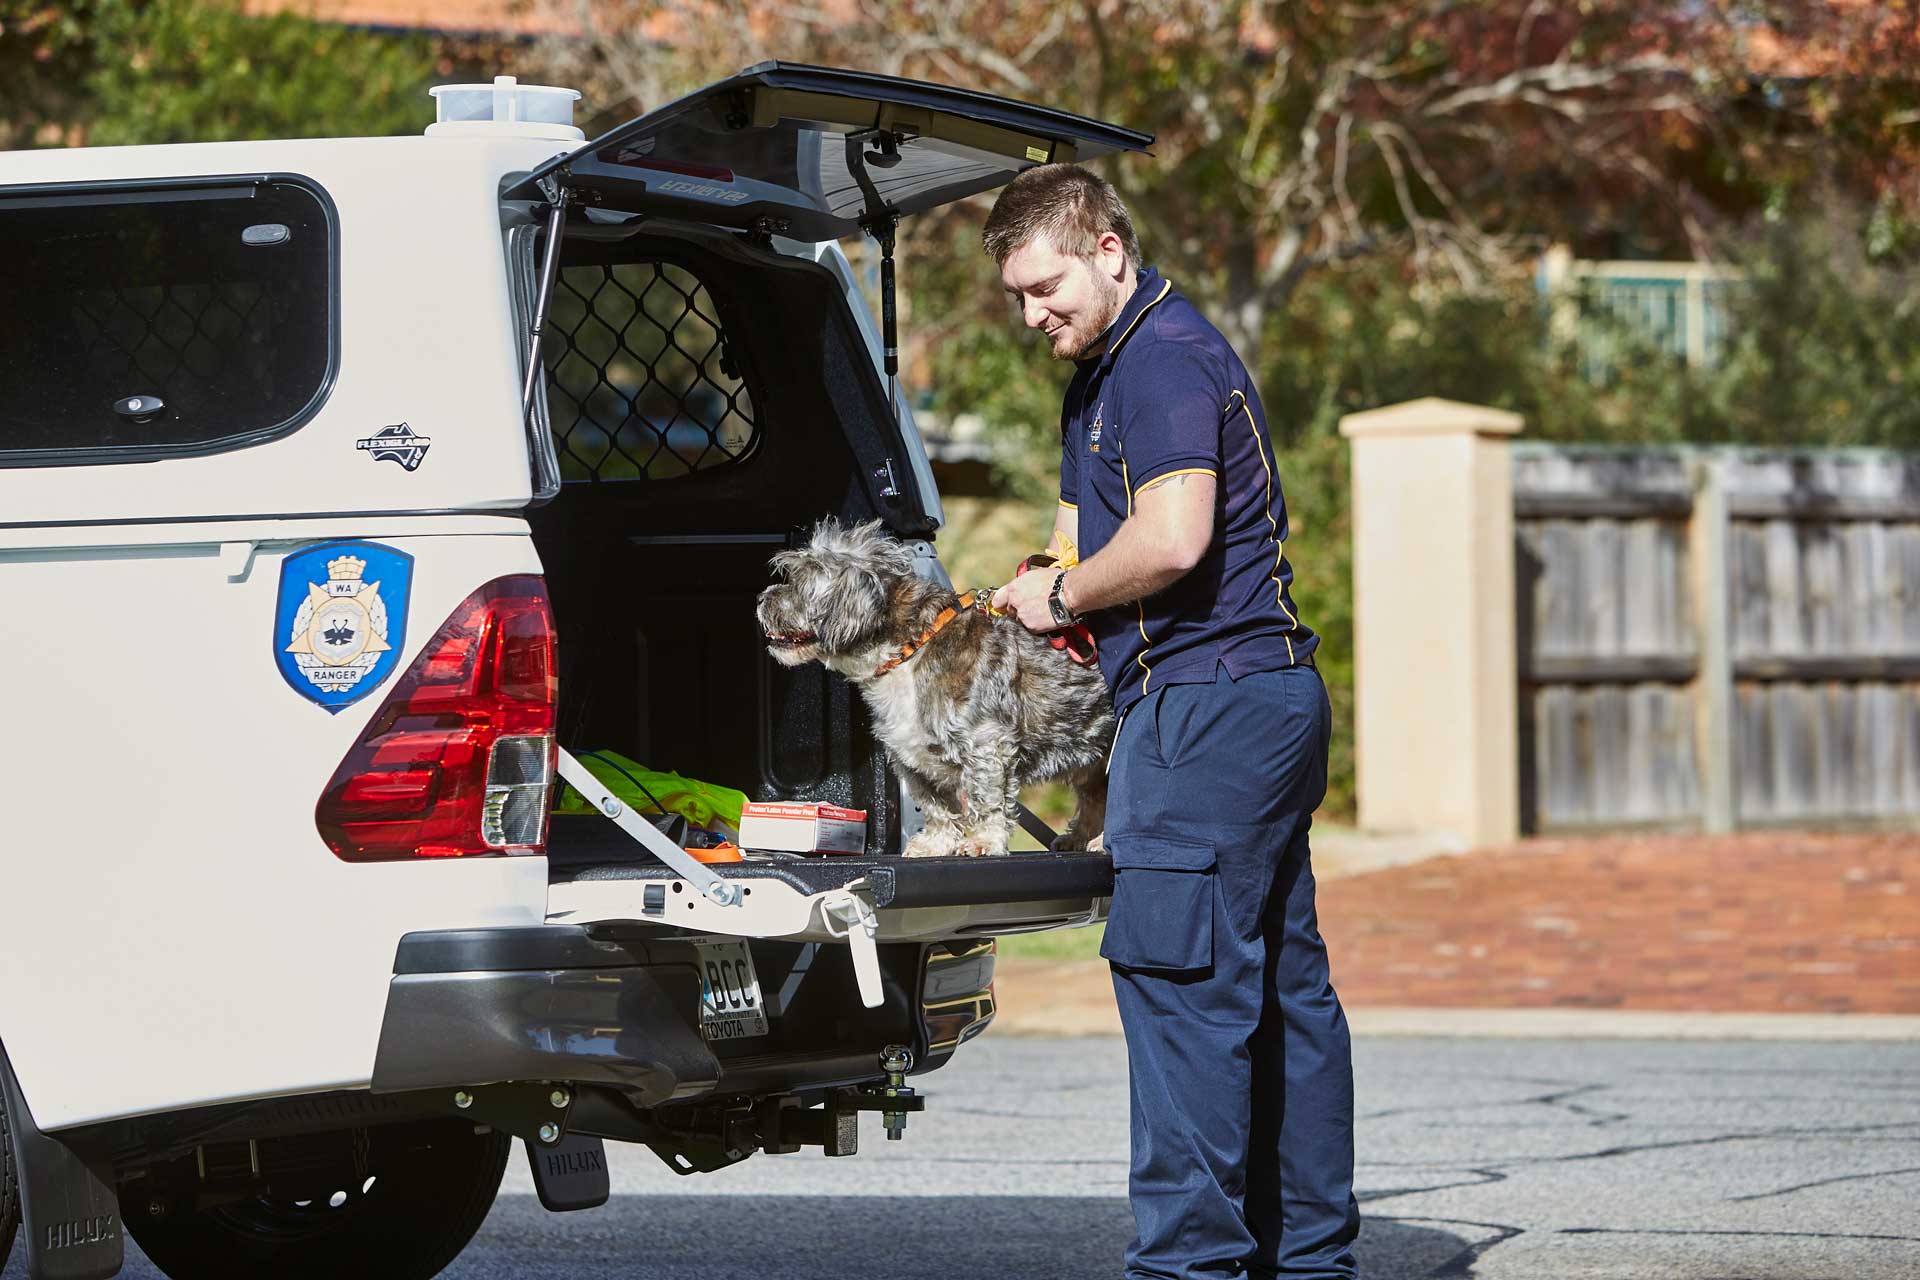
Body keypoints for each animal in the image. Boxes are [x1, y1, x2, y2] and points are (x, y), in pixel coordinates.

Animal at [748, 521, 1113, 859]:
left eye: (799, 581)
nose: (761, 598)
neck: (909, 653)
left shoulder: (986, 746)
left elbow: (986, 801)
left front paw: (983, 841)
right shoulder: (912, 757)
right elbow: (937, 807)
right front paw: (935, 844)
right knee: (1096, 795)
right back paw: (1080, 837)